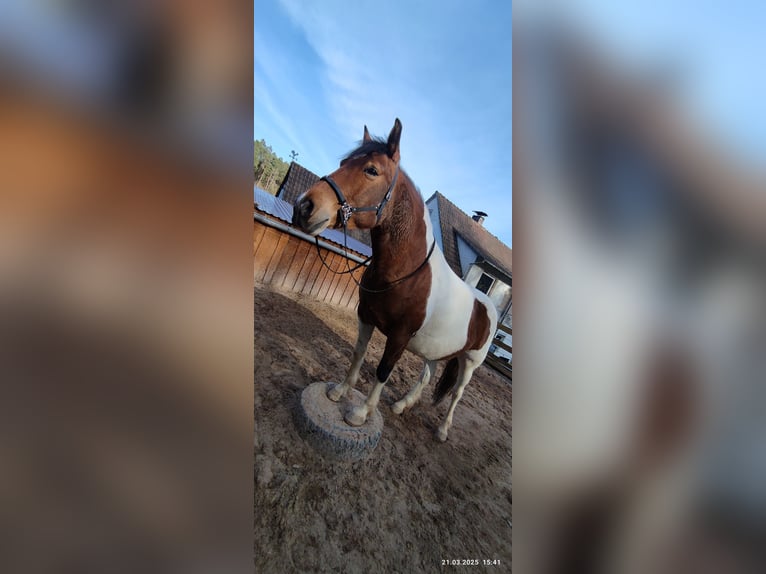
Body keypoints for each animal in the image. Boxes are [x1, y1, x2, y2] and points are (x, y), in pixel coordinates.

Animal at [292, 118, 498, 441]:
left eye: (372, 170)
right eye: (343, 163)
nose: (305, 207)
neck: (406, 273)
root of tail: (489, 306)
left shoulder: (399, 337)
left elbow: (382, 371)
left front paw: (360, 413)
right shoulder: (365, 316)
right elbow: (358, 353)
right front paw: (339, 392)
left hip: (469, 363)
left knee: (457, 394)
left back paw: (442, 430)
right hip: (438, 350)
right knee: (428, 374)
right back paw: (402, 405)